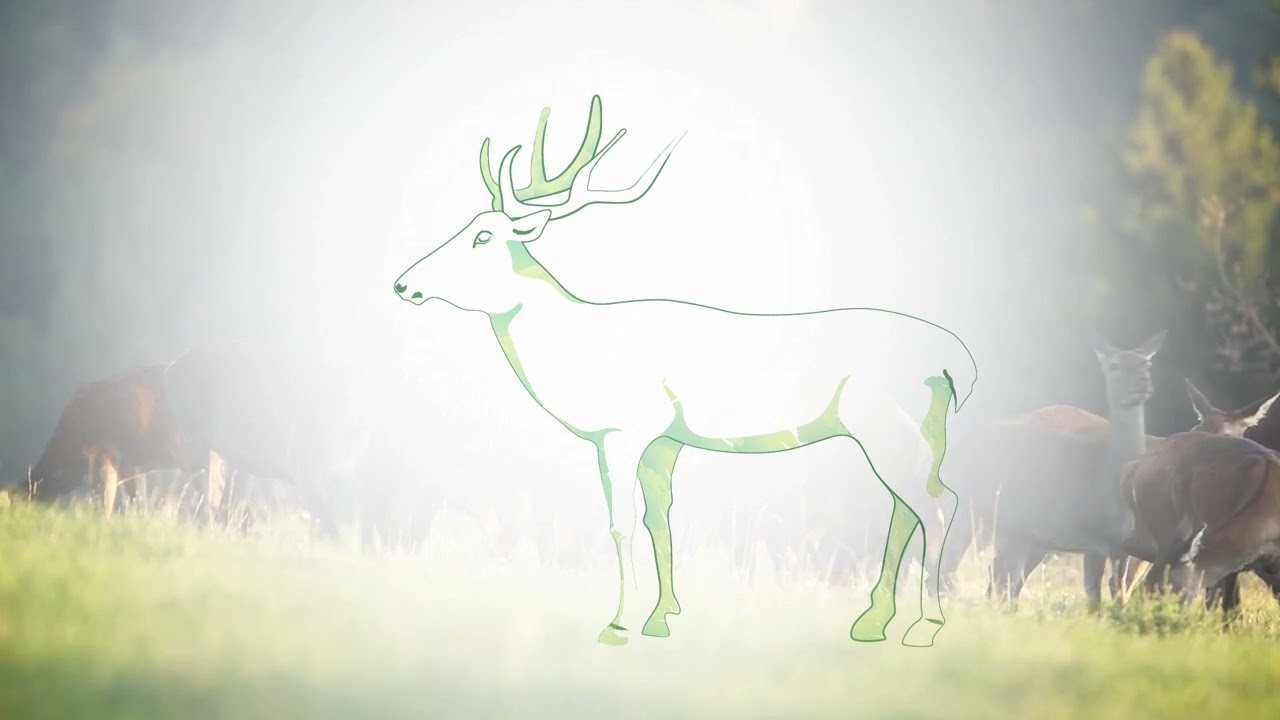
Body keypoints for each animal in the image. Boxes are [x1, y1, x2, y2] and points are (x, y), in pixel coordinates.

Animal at [392, 95, 978, 647]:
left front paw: (618, 624)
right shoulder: (665, 438)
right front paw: (661, 617)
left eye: (483, 237)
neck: (582, 350)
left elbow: (620, 523)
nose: (403, 284)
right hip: (918, 431)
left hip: (888, 425)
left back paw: (924, 626)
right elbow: (660, 518)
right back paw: (872, 621)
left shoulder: (620, 429)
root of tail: (956, 361)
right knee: (907, 506)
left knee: (938, 502)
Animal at [939, 331, 1166, 612]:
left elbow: (1116, 590)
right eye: (1114, 365)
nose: (1142, 385)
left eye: (1147, 364)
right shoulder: (1096, 540)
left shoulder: (1121, 546)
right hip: (997, 517)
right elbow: (1096, 593)